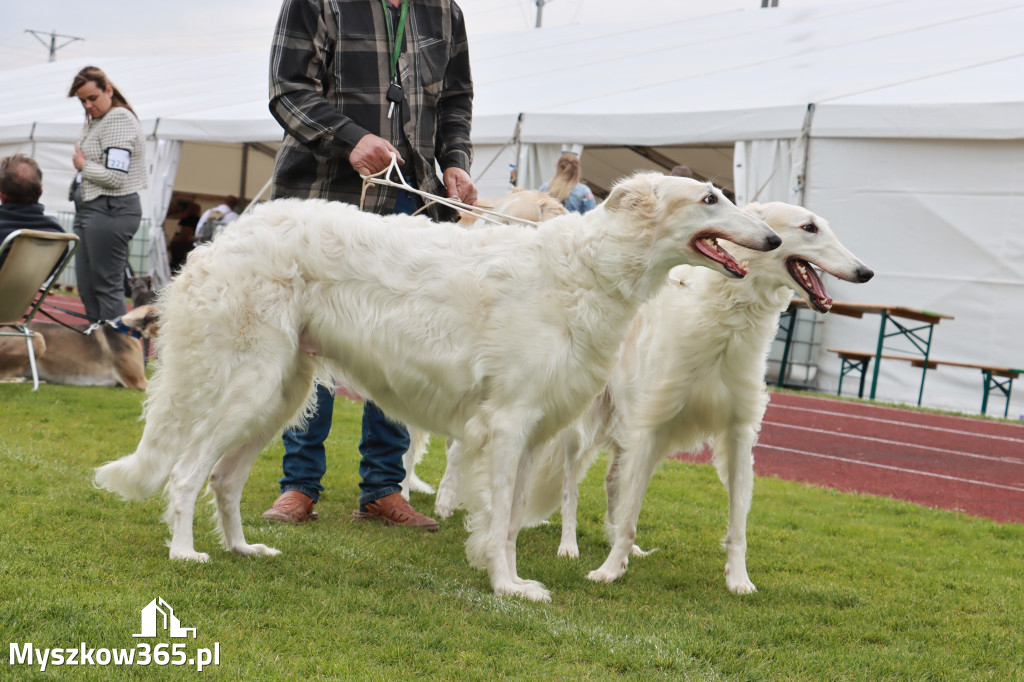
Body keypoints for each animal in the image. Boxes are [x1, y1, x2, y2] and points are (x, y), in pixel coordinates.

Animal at [96, 175, 778, 602]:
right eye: (711, 197)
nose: (771, 238)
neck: (584, 272)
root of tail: (222, 241)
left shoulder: (535, 433)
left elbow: (508, 522)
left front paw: (509, 579)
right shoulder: (507, 422)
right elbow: (498, 519)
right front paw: (505, 587)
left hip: (277, 393)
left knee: (224, 478)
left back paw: (243, 549)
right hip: (250, 384)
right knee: (187, 473)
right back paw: (185, 554)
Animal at [448, 199, 872, 593]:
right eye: (809, 227)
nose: (866, 272)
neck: (724, 325)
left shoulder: (737, 432)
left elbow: (737, 523)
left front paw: (738, 580)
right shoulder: (652, 426)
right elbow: (629, 513)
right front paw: (608, 570)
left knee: (612, 484)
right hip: (579, 426)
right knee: (571, 488)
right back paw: (569, 545)